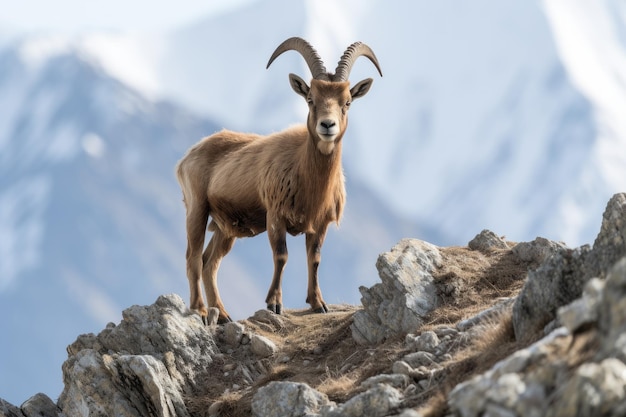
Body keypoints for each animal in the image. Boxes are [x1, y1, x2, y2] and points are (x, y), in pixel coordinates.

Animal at [174, 36, 380, 322]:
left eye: (347, 101)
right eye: (310, 98)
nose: (327, 126)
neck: (307, 176)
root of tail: (189, 155)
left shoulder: (320, 224)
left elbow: (315, 258)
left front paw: (318, 303)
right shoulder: (275, 215)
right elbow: (281, 256)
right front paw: (274, 303)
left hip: (226, 227)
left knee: (209, 262)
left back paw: (223, 314)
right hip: (197, 209)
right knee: (193, 257)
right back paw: (202, 311)